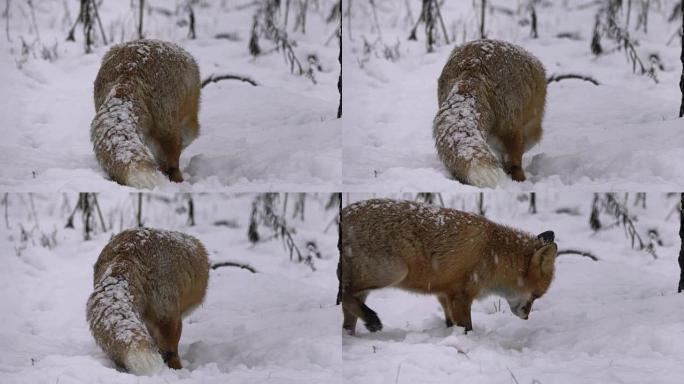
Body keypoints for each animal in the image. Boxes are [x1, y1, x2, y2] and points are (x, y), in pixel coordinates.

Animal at [340, 200, 560, 334]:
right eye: (536, 296)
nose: (526, 317)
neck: (495, 254)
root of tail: (345, 212)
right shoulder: (462, 295)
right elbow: (467, 328)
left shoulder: (445, 293)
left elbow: (449, 322)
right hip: (393, 273)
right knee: (345, 293)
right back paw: (372, 320)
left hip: (370, 285)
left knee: (348, 312)